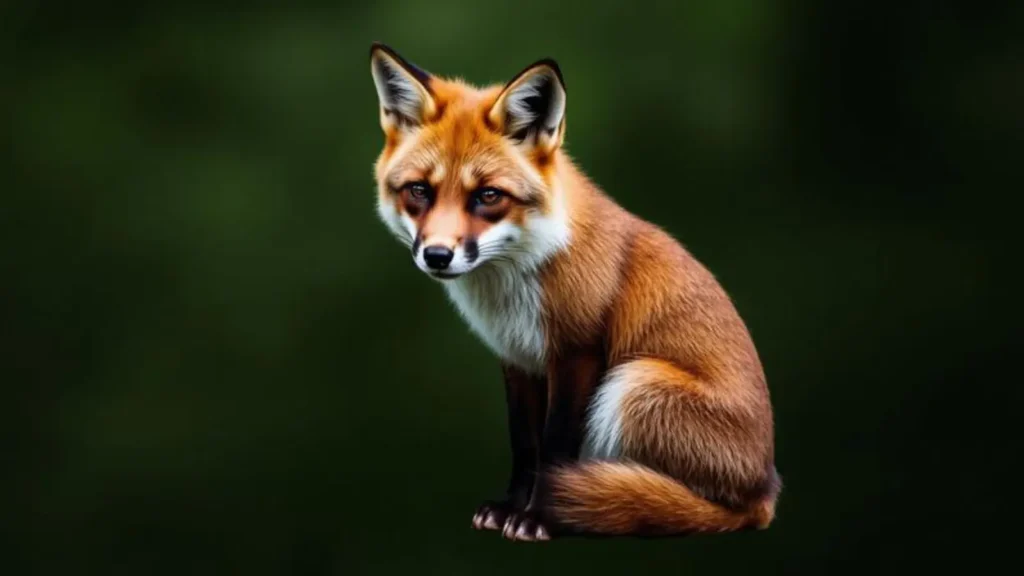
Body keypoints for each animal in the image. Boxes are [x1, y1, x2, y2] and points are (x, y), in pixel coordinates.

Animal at [368, 42, 781, 542]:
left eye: (488, 196)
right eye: (419, 191)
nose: (437, 255)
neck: (519, 277)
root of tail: (765, 493)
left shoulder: (578, 352)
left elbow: (555, 450)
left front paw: (537, 518)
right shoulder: (518, 358)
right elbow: (525, 447)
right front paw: (510, 509)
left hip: (634, 383)